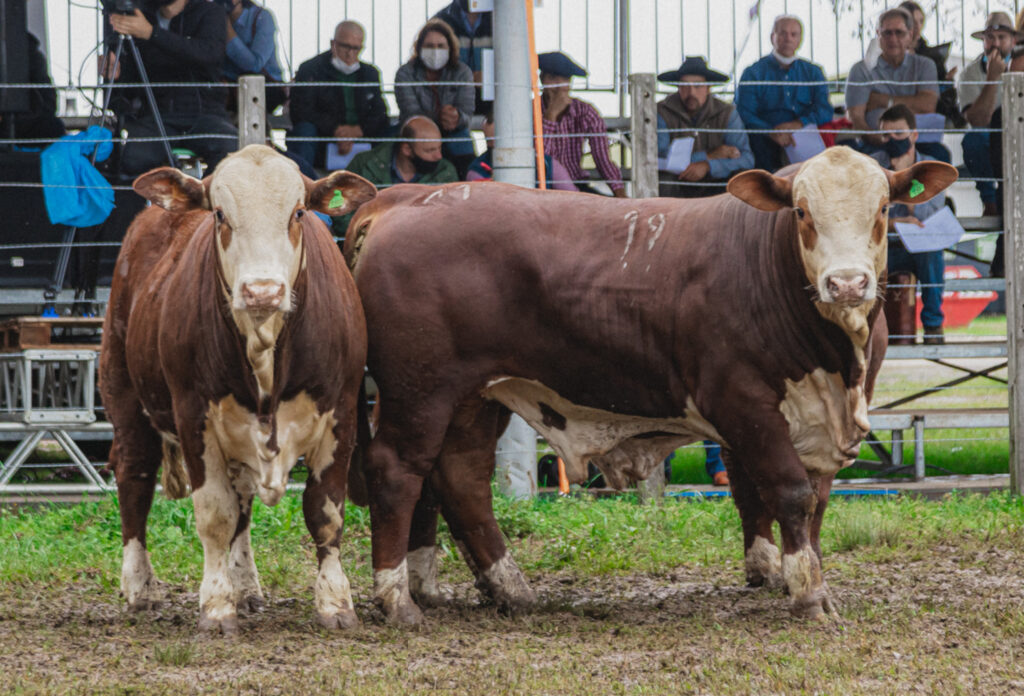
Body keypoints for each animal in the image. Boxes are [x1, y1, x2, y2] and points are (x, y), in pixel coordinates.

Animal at [100, 144, 376, 634]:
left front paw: (335, 601)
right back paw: (139, 586)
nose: (262, 291)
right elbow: (215, 515)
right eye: (220, 214)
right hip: (124, 391)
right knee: (134, 475)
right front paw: (216, 605)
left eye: (298, 212)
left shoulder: (341, 413)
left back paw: (246, 583)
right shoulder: (194, 416)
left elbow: (325, 512)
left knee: (243, 497)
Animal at [346, 148, 958, 626]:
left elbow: (814, 502)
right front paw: (809, 595)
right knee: (399, 470)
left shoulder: (819, 419)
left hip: (475, 395)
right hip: (420, 389)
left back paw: (504, 589)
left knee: (461, 478)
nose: (847, 283)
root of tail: (402, 198)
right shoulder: (743, 403)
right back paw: (399, 600)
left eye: (883, 209)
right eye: (802, 212)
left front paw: (799, 573)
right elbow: (788, 492)